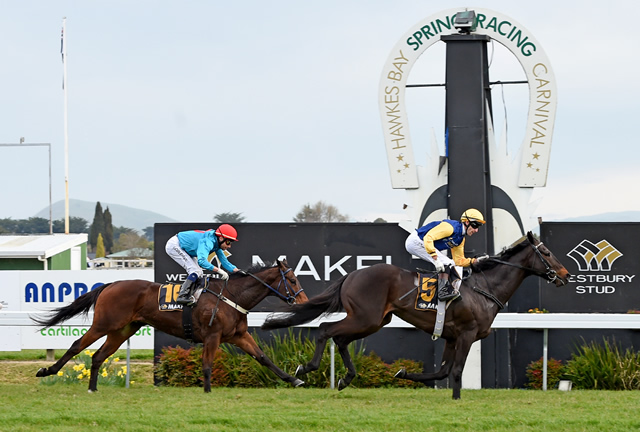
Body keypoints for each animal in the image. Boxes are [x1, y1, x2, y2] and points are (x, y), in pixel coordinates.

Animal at [32, 259, 308, 393]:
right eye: (293, 280)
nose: (304, 301)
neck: (232, 296)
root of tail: (111, 284)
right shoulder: (213, 335)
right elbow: (207, 363)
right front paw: (207, 389)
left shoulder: (238, 335)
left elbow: (263, 358)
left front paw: (294, 380)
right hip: (103, 324)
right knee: (76, 345)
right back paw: (47, 371)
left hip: (122, 331)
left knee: (98, 356)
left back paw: (92, 388)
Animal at [262, 232, 570, 399]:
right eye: (546, 252)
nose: (565, 275)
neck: (484, 288)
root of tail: (352, 274)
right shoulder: (467, 334)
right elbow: (455, 370)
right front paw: (457, 399)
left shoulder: (451, 336)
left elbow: (442, 370)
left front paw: (403, 372)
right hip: (366, 318)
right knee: (326, 329)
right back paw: (306, 370)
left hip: (374, 321)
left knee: (340, 339)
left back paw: (346, 378)